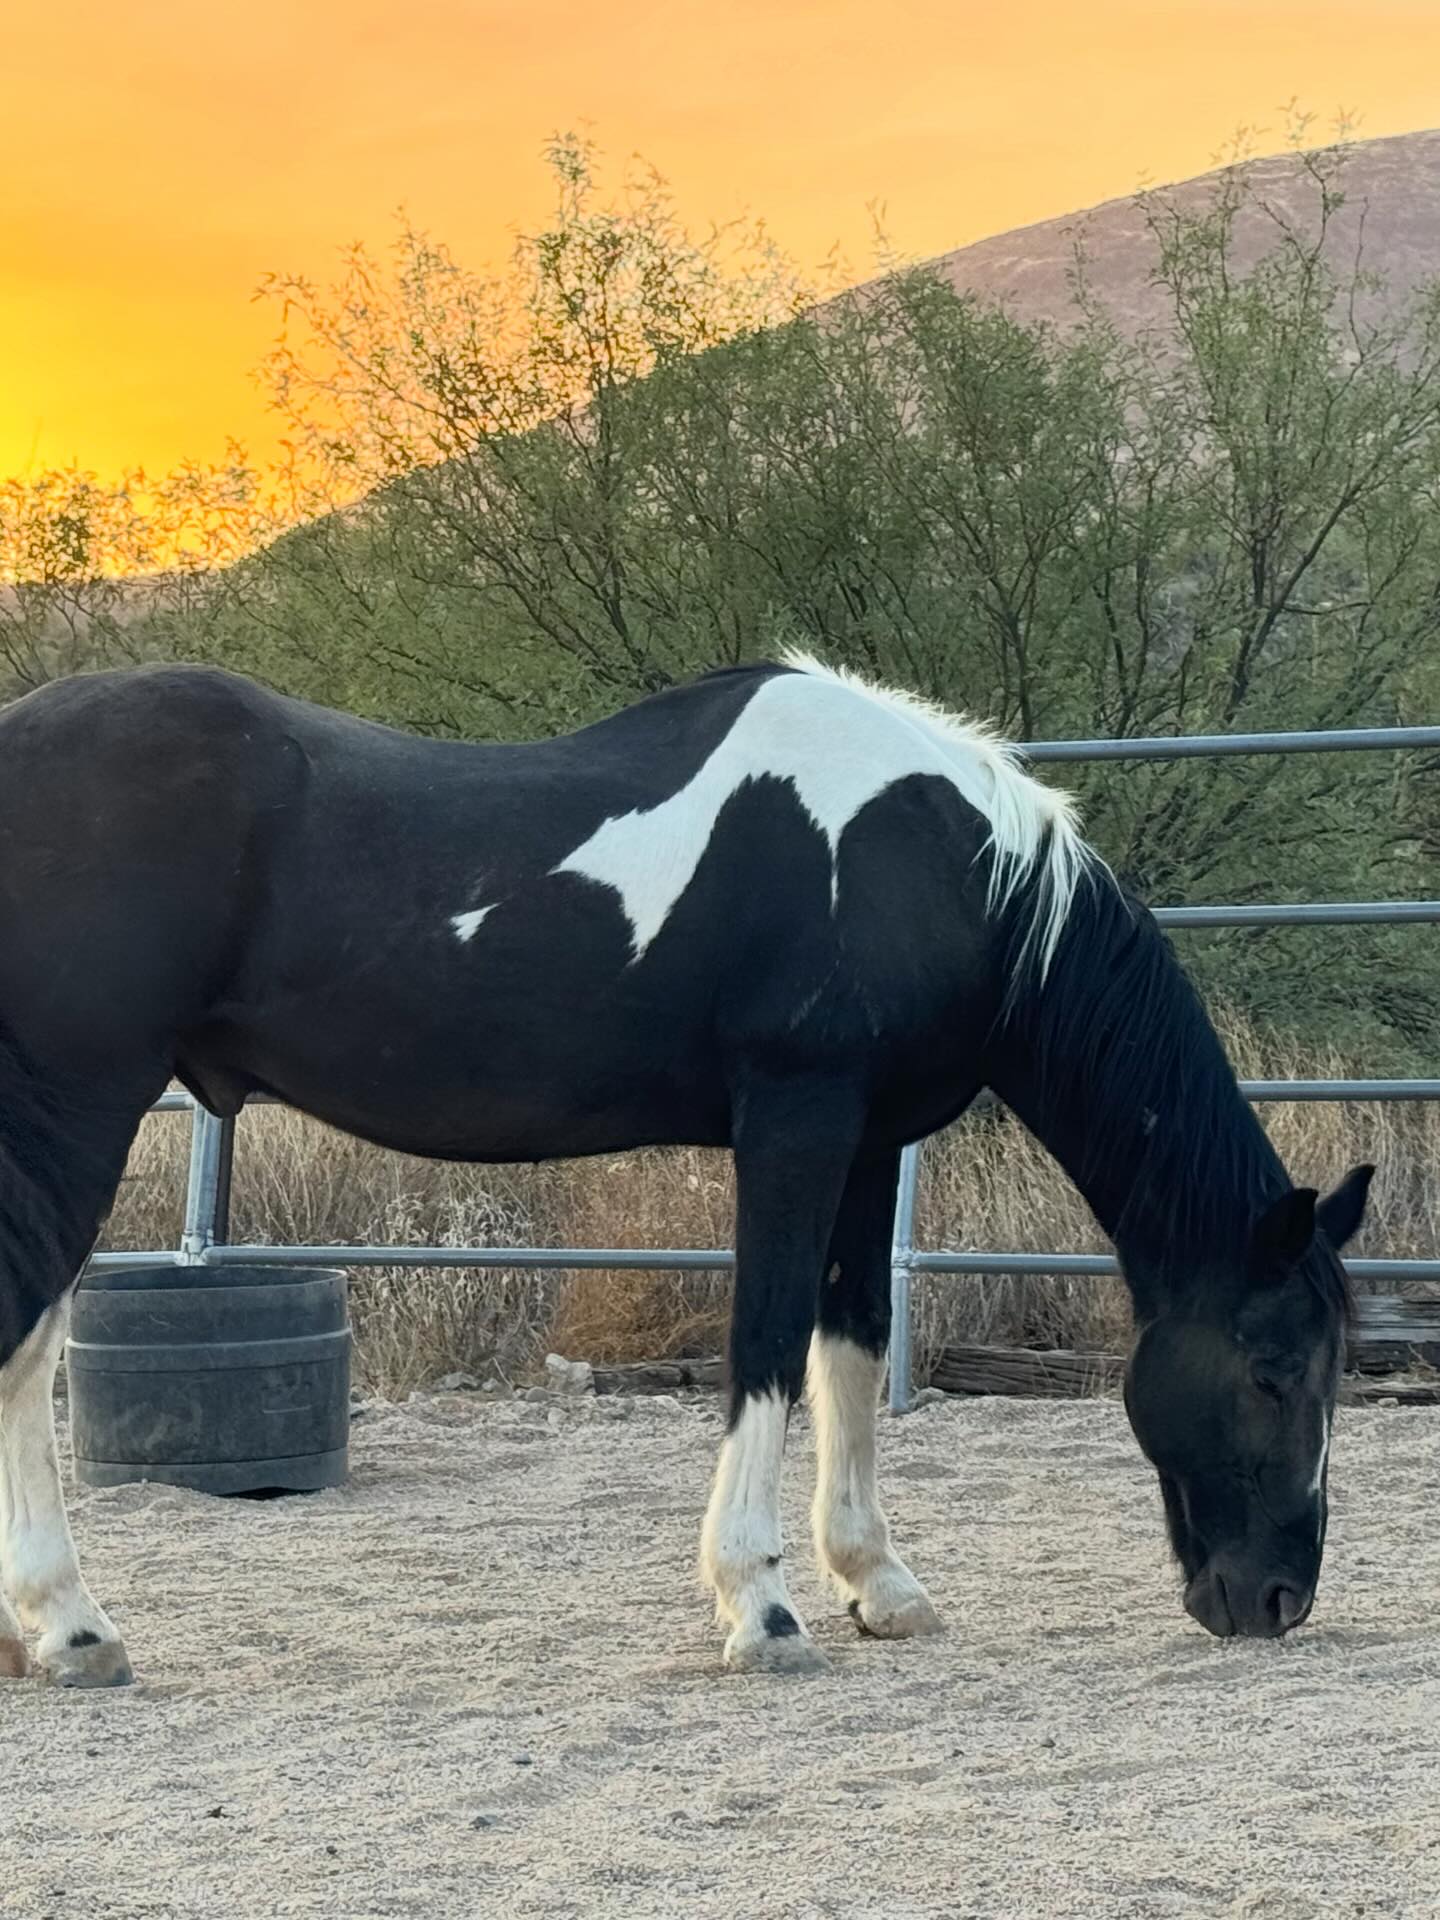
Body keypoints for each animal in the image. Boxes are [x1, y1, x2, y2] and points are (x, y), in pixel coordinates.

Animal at [0, 653, 1371, 1686]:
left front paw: (879, 1583)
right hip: (75, 1113)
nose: (1278, 1599)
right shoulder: (795, 1121)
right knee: (26, 1347)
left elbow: (850, 1350)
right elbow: (762, 1345)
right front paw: (761, 1608)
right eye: (1272, 1370)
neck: (933, 866)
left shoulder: (869, 1143)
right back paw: (73, 1629)